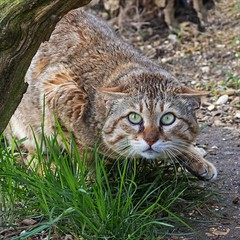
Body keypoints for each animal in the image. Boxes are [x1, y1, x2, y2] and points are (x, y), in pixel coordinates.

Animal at [5, 7, 217, 180]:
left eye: (167, 119)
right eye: (134, 118)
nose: (150, 139)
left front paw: (192, 156)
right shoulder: (56, 87)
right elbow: (80, 150)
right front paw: (91, 178)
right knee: (31, 151)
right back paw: (48, 167)